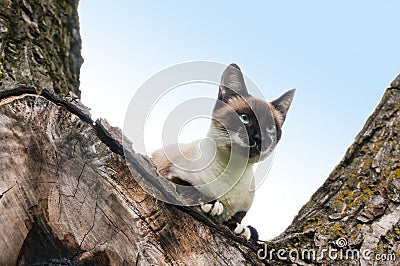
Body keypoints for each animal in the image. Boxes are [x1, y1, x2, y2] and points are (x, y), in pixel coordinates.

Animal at [152, 63, 296, 240]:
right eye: (244, 118)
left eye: (270, 128)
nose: (259, 138)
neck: (231, 172)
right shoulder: (168, 174)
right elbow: (189, 186)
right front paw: (212, 205)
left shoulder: (241, 210)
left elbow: (238, 221)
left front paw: (242, 229)